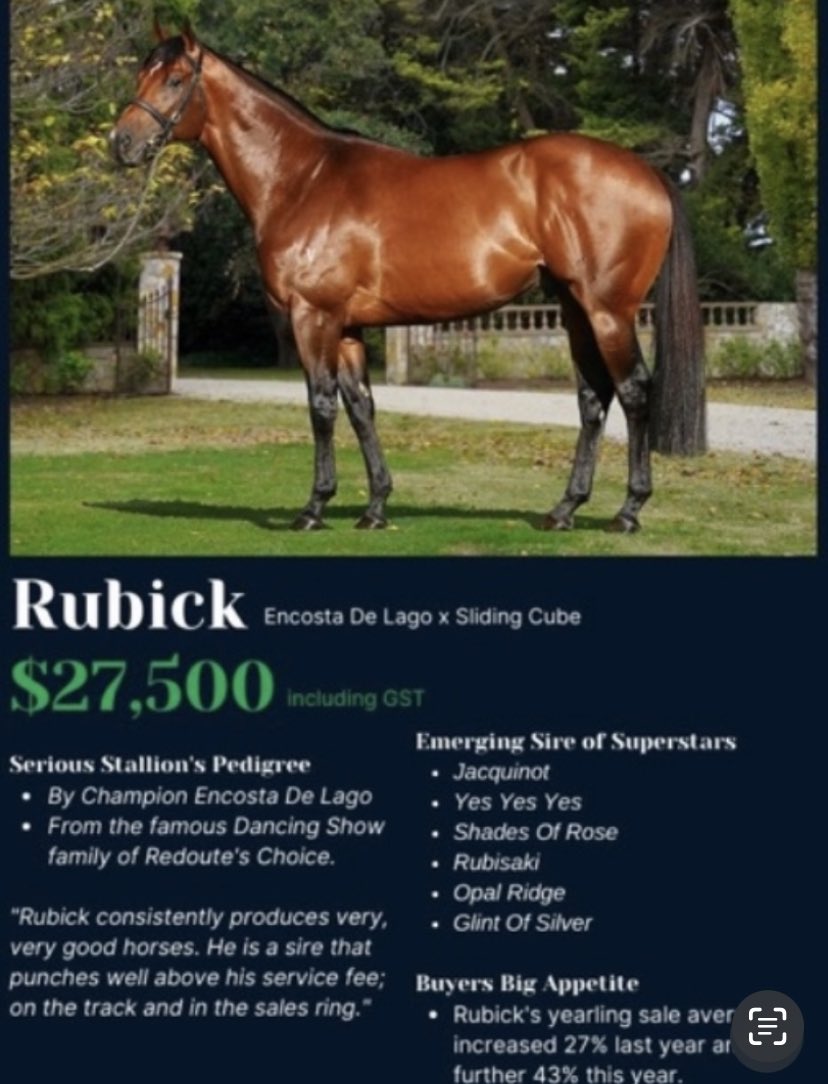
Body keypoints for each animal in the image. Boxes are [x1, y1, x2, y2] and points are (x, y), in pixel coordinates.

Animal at [110, 23, 705, 534]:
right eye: (141, 74)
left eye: (175, 80)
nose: (121, 142)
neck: (303, 180)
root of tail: (647, 172)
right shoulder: (348, 327)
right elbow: (360, 409)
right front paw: (375, 507)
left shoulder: (313, 316)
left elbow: (321, 406)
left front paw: (313, 508)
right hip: (575, 310)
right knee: (593, 399)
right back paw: (564, 509)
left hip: (609, 311)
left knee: (633, 392)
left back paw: (627, 512)